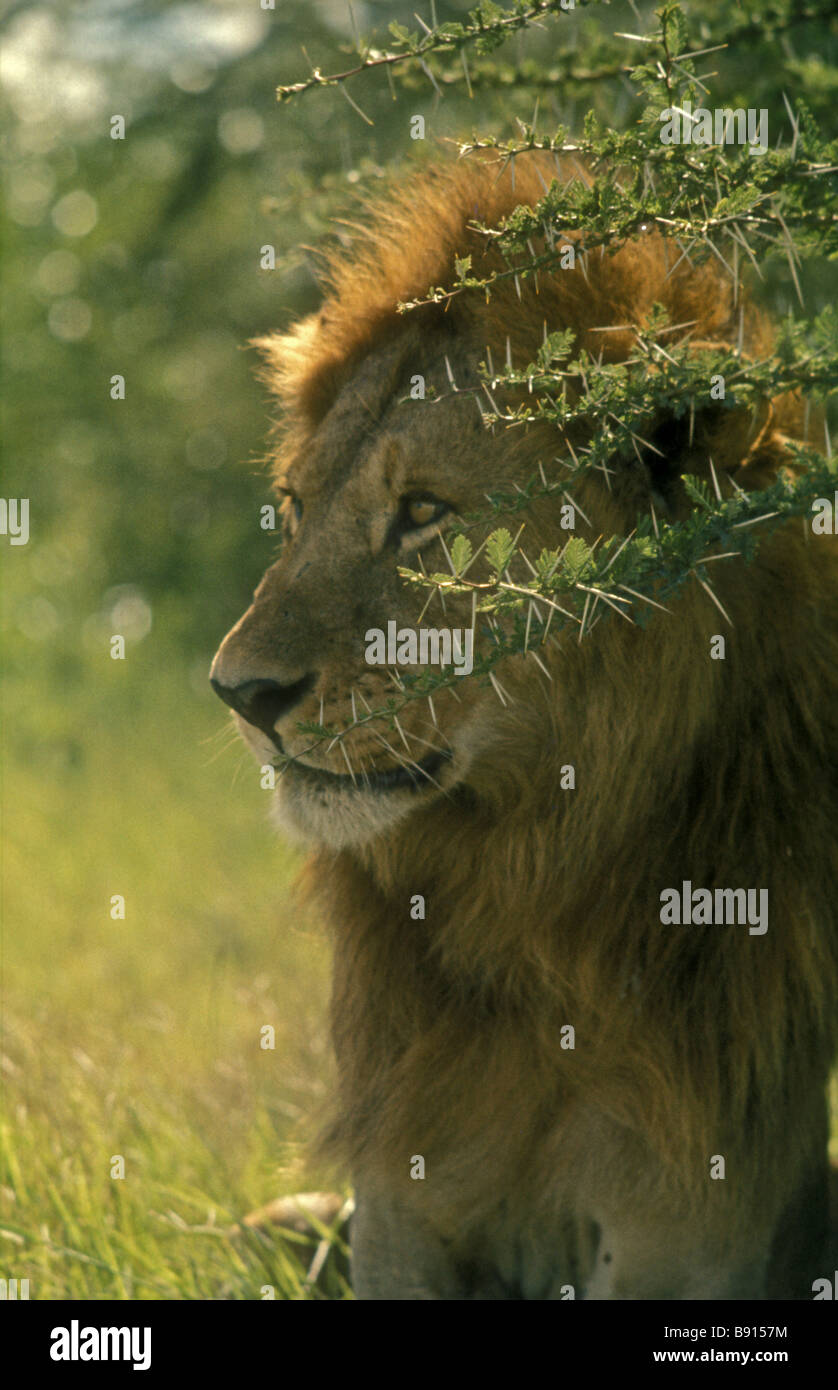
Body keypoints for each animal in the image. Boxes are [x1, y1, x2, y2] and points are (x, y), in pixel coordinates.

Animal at [209, 157, 838, 1295]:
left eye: (422, 512)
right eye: (294, 505)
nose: (236, 692)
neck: (527, 878)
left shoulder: (689, 1211)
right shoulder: (397, 1198)